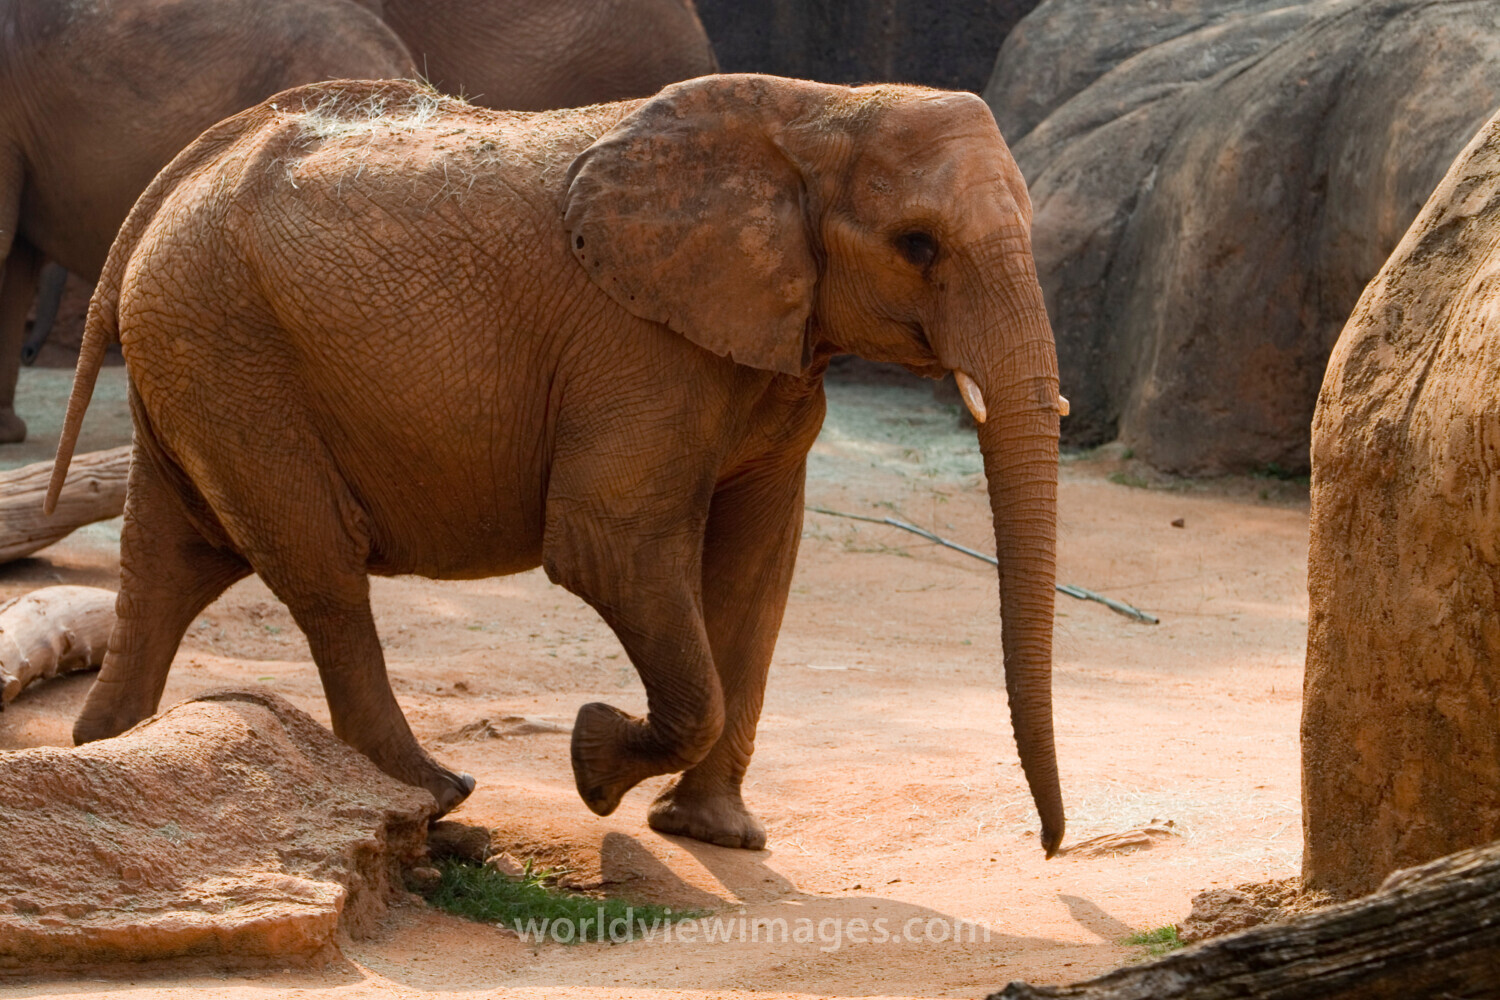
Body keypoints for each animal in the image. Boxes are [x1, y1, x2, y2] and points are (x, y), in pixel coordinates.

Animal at [48, 74, 1067, 855]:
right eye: (918, 246)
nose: (1051, 847)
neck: (816, 109)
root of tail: (182, 173)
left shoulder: (770, 349)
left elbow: (757, 568)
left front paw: (713, 836)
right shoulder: (638, 348)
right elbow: (606, 546)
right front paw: (592, 766)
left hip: (196, 355)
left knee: (172, 559)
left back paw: (101, 752)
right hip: (230, 352)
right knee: (321, 571)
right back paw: (434, 797)